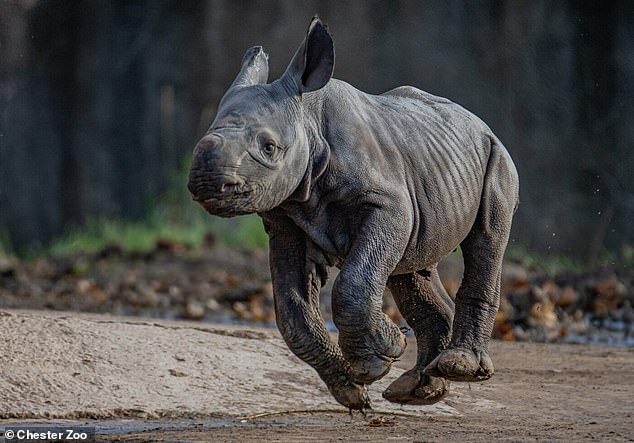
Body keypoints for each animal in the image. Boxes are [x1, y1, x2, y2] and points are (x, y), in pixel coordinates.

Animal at [188, 19, 520, 412]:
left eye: (268, 148)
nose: (206, 181)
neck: (309, 122)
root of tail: (480, 123)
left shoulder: (388, 204)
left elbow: (354, 282)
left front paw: (381, 355)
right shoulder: (285, 218)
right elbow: (292, 312)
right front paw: (354, 388)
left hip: (496, 157)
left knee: (486, 241)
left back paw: (459, 368)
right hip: (432, 164)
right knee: (413, 264)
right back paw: (416, 391)